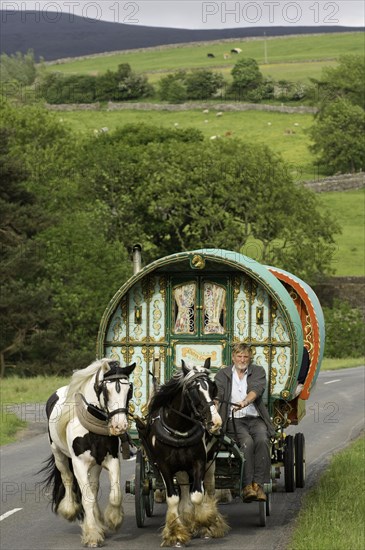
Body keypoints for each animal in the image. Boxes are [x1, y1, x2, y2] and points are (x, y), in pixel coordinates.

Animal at [39, 358, 136, 548]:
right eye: (106, 390)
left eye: (129, 390)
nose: (119, 426)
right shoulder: (79, 464)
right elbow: (87, 498)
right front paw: (92, 535)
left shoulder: (111, 459)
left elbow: (115, 494)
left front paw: (112, 519)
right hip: (59, 455)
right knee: (68, 479)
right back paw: (70, 509)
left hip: (96, 463)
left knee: (93, 485)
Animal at [141, 358, 229, 548]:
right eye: (194, 390)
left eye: (212, 387)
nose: (216, 422)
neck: (179, 429)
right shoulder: (164, 466)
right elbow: (174, 498)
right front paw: (176, 533)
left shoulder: (199, 462)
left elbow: (197, 495)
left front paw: (204, 522)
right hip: (180, 467)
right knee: (184, 487)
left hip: (210, 462)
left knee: (209, 488)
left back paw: (211, 519)